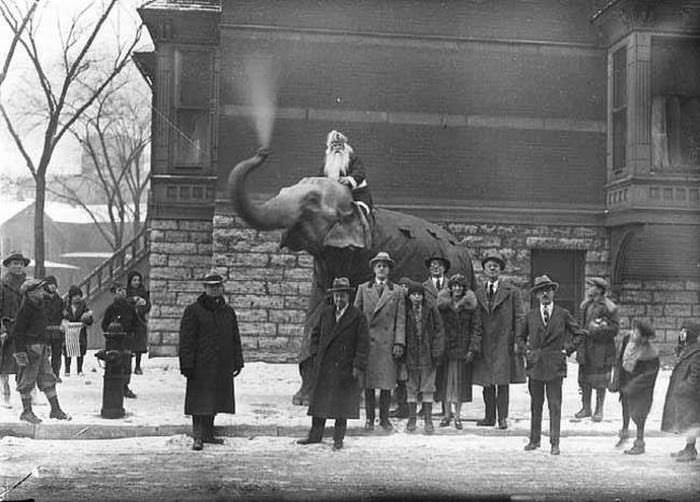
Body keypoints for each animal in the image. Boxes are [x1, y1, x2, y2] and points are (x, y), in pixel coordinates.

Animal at [230, 148, 476, 404]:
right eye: (283, 191)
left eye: (311, 202)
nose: (263, 152)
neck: (354, 208)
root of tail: (466, 255)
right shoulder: (326, 264)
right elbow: (318, 313)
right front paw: (303, 400)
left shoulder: (359, 260)